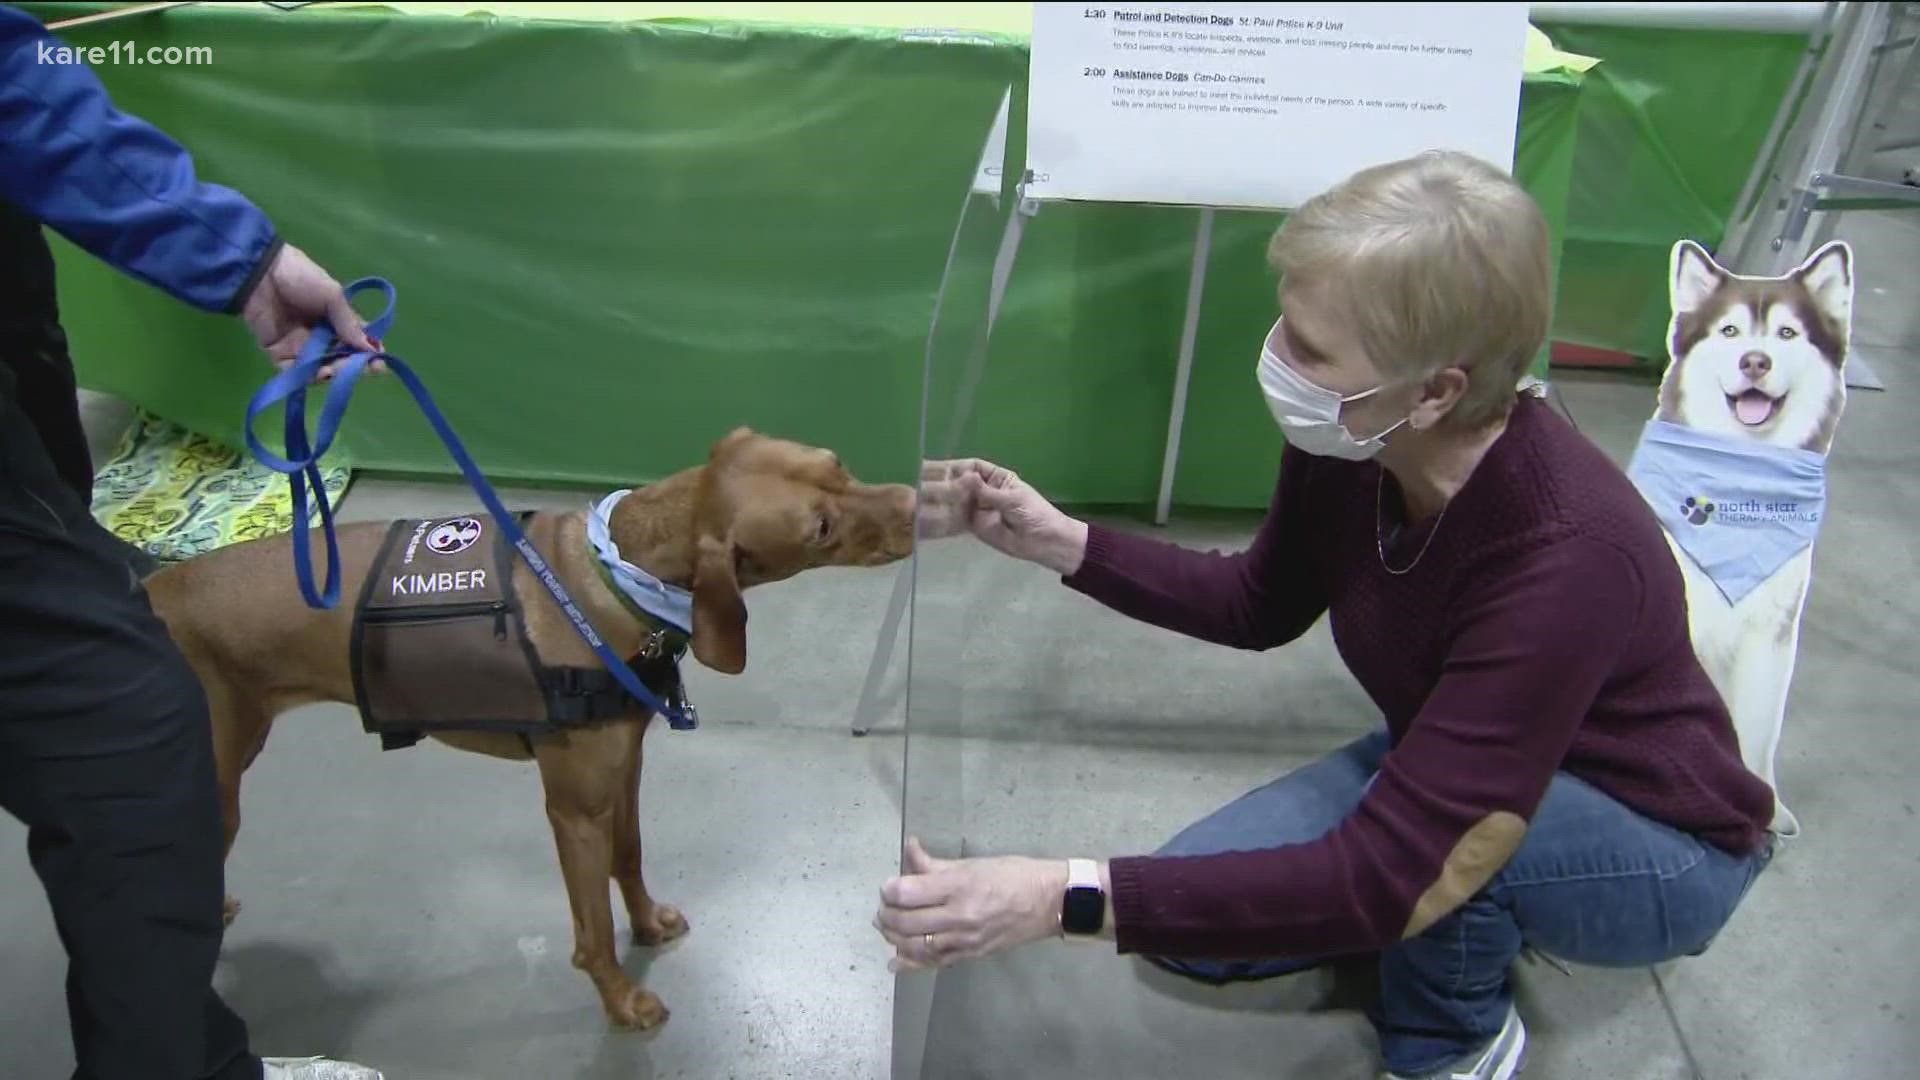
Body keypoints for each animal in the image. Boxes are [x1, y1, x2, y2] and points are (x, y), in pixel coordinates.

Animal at [145, 424, 910, 1030]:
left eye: (838, 462)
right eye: (819, 528)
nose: (915, 503)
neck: (622, 569)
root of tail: (154, 588)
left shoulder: (622, 775)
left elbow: (630, 858)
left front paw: (647, 923)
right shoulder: (573, 809)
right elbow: (592, 932)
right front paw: (622, 1004)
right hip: (212, 792)